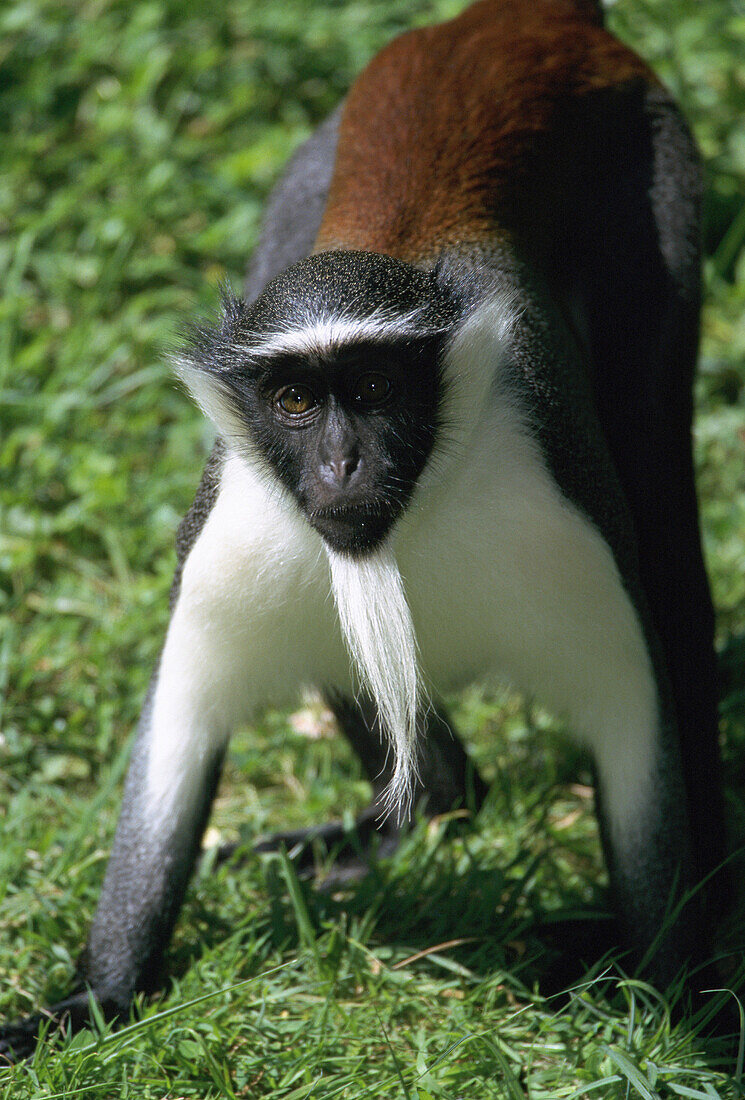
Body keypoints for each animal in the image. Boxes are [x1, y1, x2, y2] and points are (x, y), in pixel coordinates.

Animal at [0, 0, 726, 1060]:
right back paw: (417, 815)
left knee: (667, 542)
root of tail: (514, 21)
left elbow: (634, 718)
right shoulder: (237, 532)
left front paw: (674, 1008)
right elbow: (181, 733)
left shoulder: (563, 525)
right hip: (303, 180)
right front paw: (97, 998)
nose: (342, 466)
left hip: (659, 201)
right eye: (297, 402)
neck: (411, 519)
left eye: (377, 389)